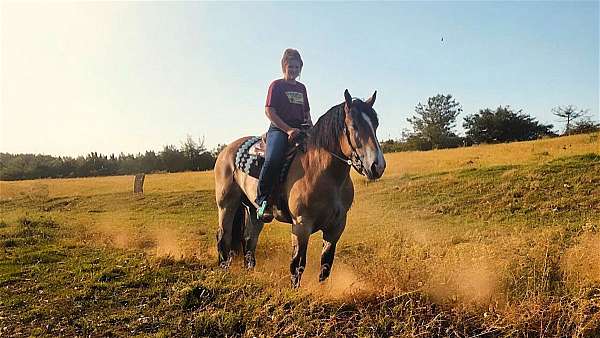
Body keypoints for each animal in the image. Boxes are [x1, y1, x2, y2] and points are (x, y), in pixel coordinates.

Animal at [213, 88, 386, 286]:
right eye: (353, 125)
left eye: (376, 124)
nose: (377, 166)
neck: (320, 172)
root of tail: (226, 151)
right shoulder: (301, 225)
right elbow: (297, 265)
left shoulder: (337, 226)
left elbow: (326, 265)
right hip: (226, 204)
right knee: (223, 236)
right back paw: (224, 270)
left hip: (253, 210)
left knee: (249, 240)